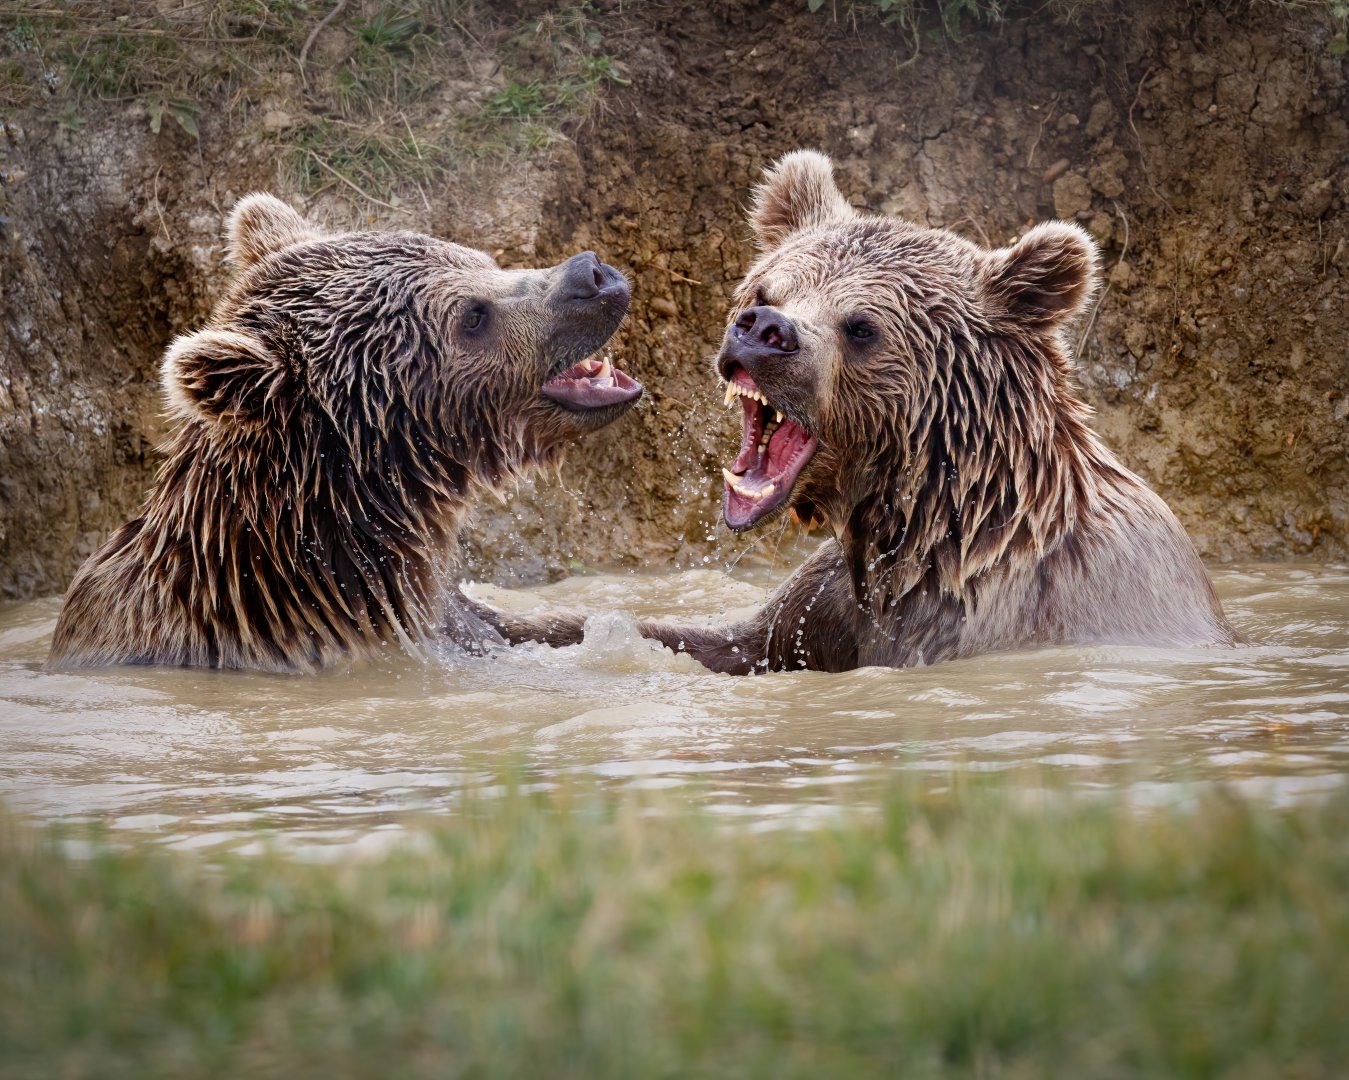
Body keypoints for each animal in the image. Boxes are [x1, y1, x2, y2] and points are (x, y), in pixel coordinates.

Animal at [637, 150, 1241, 674]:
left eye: (861, 326)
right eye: (766, 291)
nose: (766, 330)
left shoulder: (999, 619)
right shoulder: (824, 605)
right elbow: (726, 640)